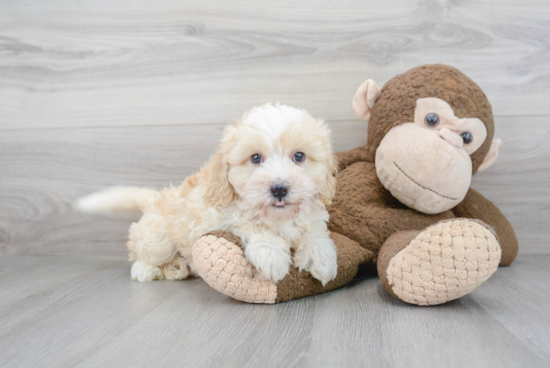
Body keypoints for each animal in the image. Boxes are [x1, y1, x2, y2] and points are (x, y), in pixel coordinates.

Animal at [75, 104, 338, 288]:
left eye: (299, 156)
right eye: (255, 158)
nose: (279, 188)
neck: (276, 217)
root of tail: (157, 197)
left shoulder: (312, 214)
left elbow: (314, 231)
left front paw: (320, 256)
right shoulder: (217, 219)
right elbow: (250, 225)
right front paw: (271, 253)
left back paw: (177, 268)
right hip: (159, 240)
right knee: (141, 254)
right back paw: (146, 270)